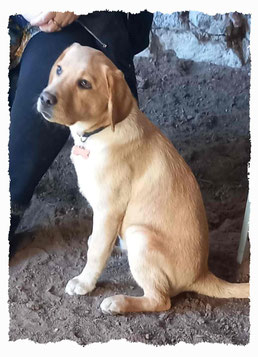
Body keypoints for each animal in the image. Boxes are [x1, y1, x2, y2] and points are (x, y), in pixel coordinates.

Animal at [37, 43, 249, 312]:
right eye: (59, 69)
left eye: (84, 84)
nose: (45, 98)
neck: (99, 133)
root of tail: (202, 274)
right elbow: (97, 242)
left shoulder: (109, 209)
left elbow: (96, 251)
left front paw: (84, 282)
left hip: (140, 236)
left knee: (160, 300)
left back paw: (119, 303)